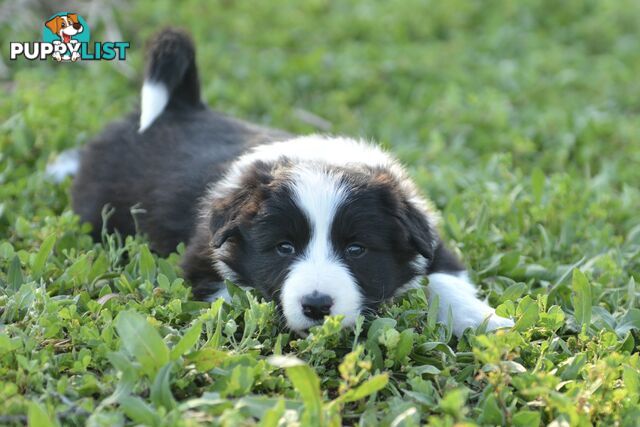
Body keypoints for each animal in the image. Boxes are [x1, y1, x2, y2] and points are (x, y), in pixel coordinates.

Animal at [66, 30, 516, 338]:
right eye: (284, 248)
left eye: (356, 250)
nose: (316, 306)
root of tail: (180, 106)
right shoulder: (203, 260)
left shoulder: (429, 237)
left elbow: (444, 278)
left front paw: (487, 322)